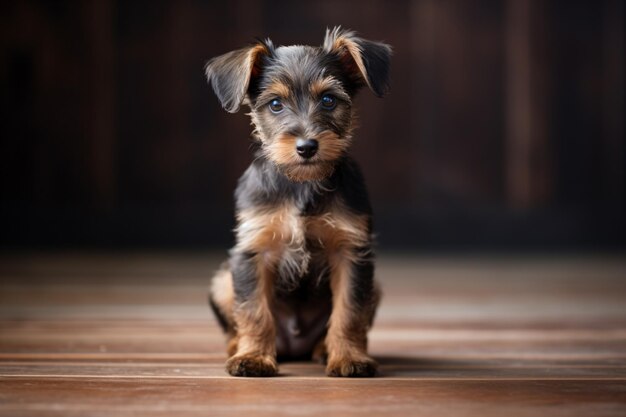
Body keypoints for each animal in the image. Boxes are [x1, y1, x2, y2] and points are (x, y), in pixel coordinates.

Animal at [205, 26, 390, 376]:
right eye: (276, 104)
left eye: (329, 100)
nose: (306, 146)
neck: (301, 183)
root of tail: (294, 344)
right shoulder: (253, 250)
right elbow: (253, 310)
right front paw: (253, 357)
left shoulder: (352, 252)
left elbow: (349, 311)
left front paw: (348, 358)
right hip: (222, 280)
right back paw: (239, 347)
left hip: (376, 286)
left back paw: (324, 349)